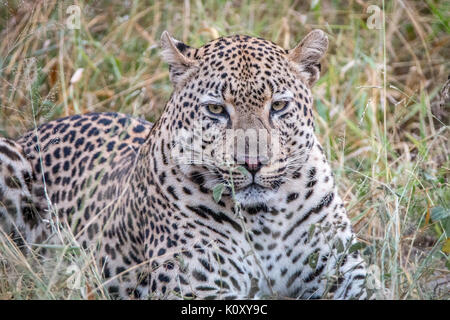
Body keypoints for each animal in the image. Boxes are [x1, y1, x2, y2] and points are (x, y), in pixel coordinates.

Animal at [0, 28, 366, 298]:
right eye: (216, 109)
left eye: (278, 106)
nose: (252, 163)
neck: (265, 219)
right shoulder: (195, 288)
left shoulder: (343, 268)